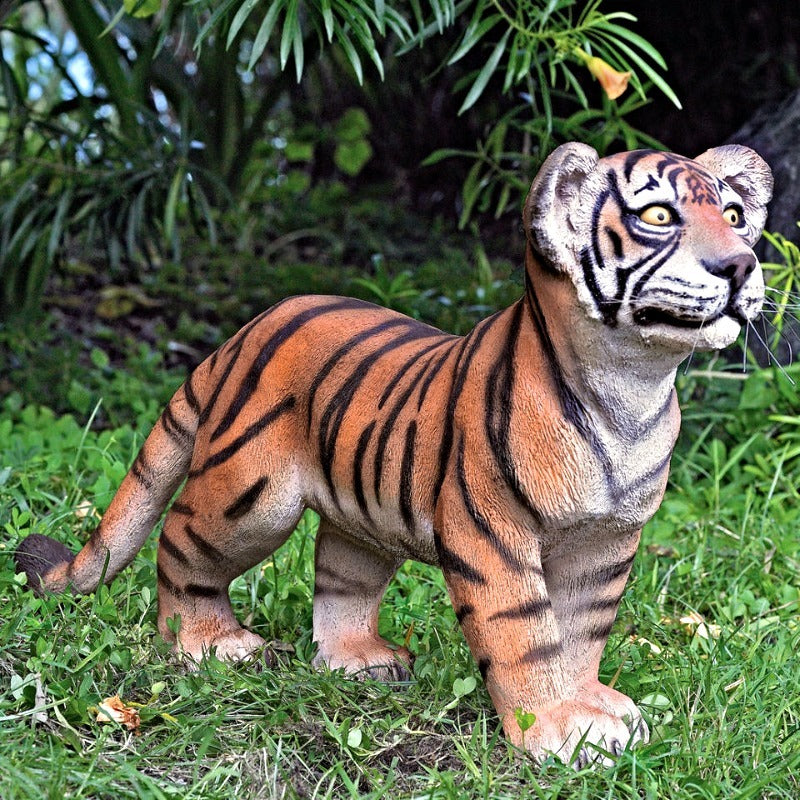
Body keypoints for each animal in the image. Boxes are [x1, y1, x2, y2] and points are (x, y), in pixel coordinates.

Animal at [16, 142, 772, 766]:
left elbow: (583, 630)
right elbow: (527, 633)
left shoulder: (606, 542)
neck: (632, 389)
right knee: (179, 541)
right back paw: (208, 645)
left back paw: (358, 660)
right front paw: (558, 728)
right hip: (251, 497)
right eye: (658, 216)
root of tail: (241, 333)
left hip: (361, 513)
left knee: (340, 576)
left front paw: (591, 704)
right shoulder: (493, 531)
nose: (741, 264)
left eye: (736, 215)